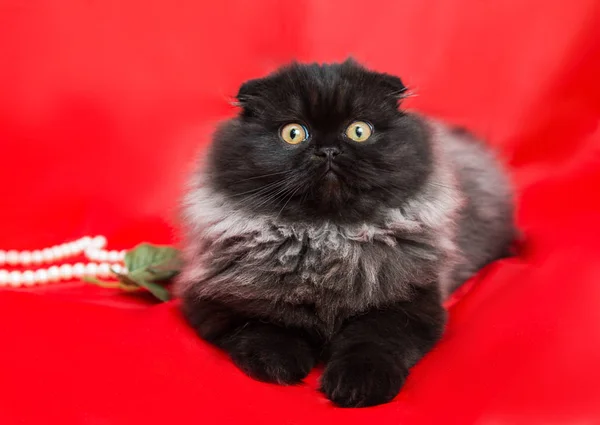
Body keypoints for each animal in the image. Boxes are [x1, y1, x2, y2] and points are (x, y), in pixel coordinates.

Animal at [175, 58, 516, 406]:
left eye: (358, 131)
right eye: (293, 133)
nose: (328, 150)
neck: (327, 239)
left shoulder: (408, 302)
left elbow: (372, 341)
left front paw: (359, 384)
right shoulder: (218, 298)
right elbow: (263, 326)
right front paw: (279, 363)